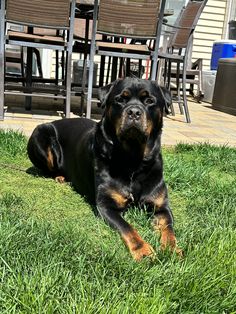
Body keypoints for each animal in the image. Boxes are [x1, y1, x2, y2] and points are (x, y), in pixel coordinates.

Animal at [28, 78, 183, 260]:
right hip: (41, 134)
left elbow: (168, 228)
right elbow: (128, 228)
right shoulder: (106, 206)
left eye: (149, 101)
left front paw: (172, 249)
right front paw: (143, 250)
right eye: (120, 99)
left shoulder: (161, 206)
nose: (134, 112)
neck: (133, 162)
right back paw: (60, 177)